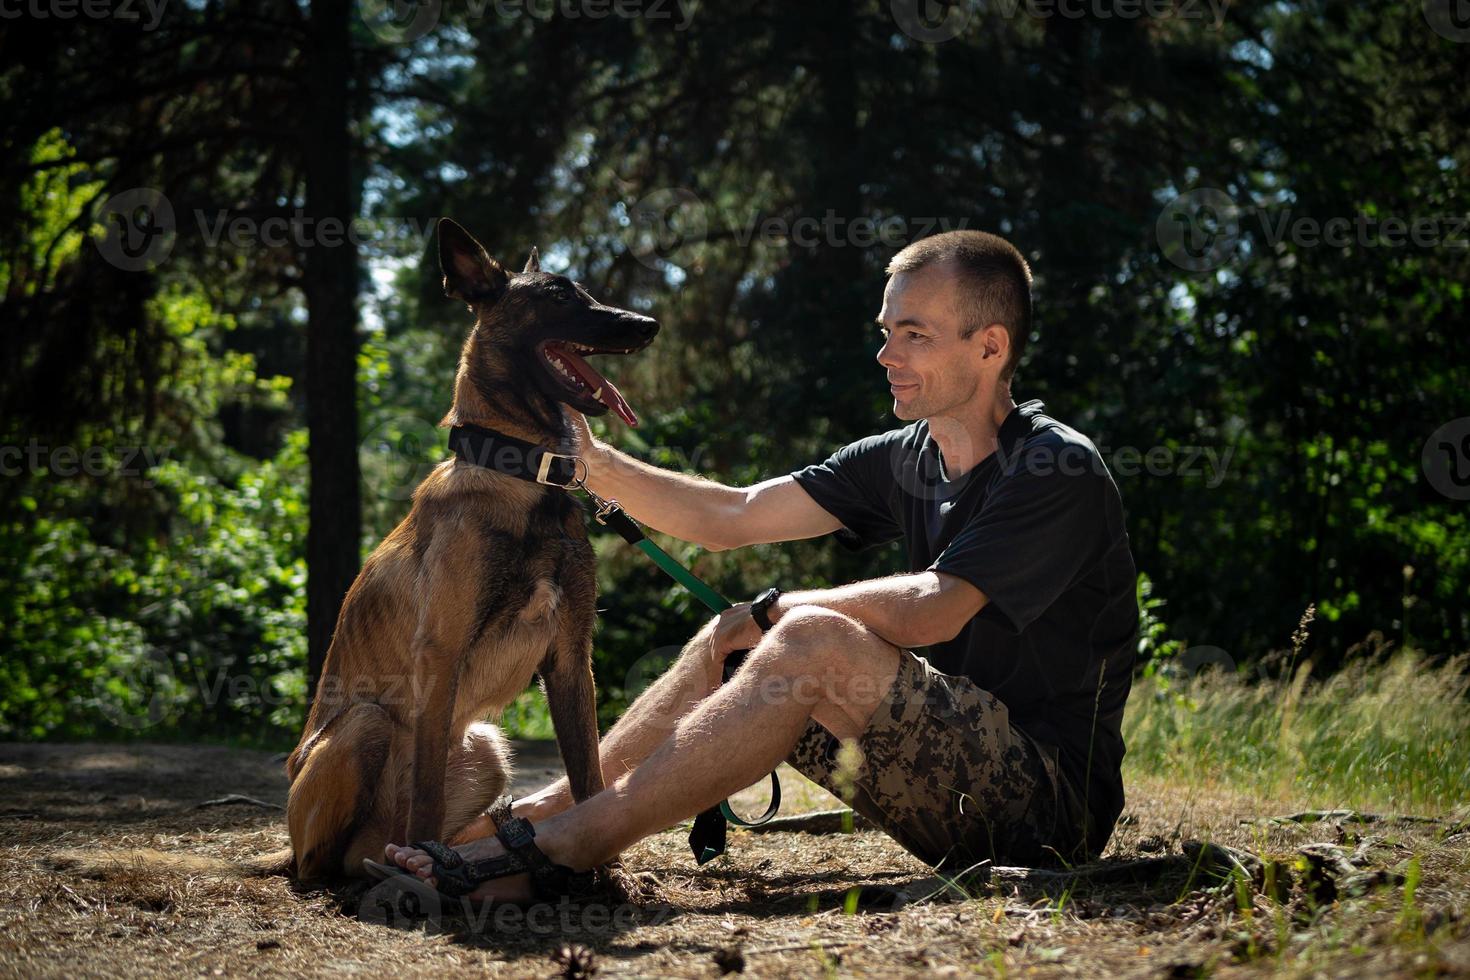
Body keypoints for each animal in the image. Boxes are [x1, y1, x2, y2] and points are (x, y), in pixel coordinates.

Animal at [282, 221, 661, 881]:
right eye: (559, 296)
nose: (647, 324)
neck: (525, 475)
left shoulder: (570, 657)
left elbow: (588, 774)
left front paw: (605, 870)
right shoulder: (440, 656)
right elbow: (428, 789)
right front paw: (425, 858)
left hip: (484, 745)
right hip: (366, 725)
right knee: (323, 861)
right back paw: (398, 865)